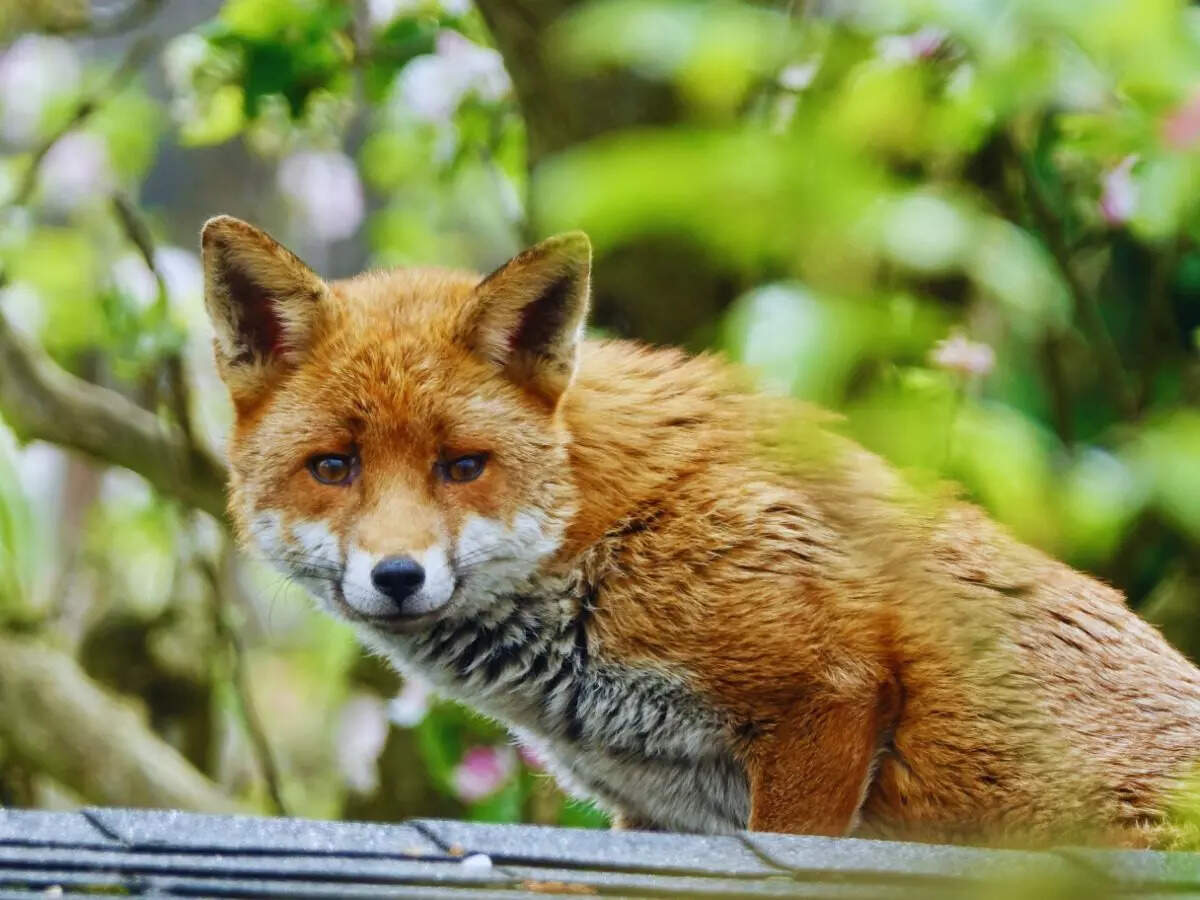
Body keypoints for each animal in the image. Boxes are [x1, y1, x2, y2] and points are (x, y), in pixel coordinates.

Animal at [200, 214, 1200, 847]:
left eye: (462, 466)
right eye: (334, 468)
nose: (398, 576)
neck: (606, 539)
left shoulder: (829, 692)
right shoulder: (658, 817)